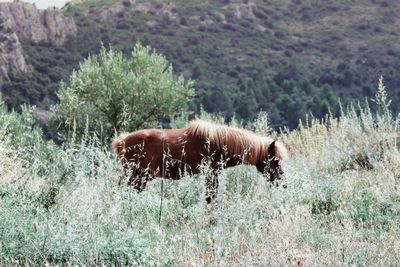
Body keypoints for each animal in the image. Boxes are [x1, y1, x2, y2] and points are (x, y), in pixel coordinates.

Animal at [111, 119, 288, 203]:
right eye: (275, 161)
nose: (283, 182)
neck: (219, 142)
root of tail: (121, 140)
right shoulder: (211, 173)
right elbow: (210, 197)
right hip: (135, 175)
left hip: (142, 177)